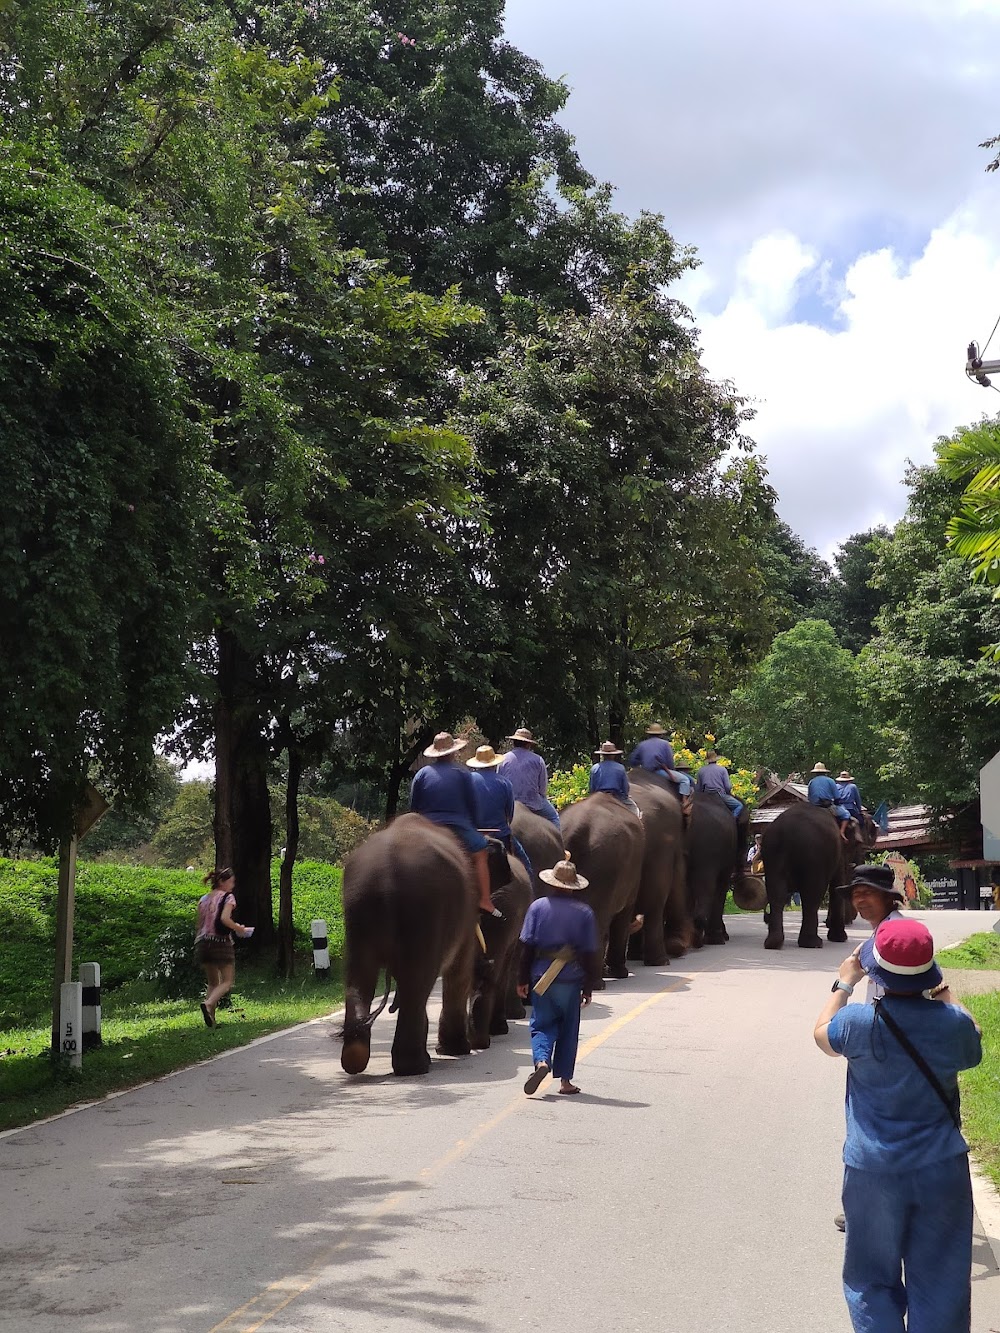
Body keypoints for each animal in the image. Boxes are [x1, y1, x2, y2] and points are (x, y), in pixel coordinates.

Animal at [338, 810, 480, 1071]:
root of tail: (384, 874)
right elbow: (460, 972)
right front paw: (456, 1050)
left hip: (357, 910)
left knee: (360, 975)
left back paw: (355, 1058)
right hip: (425, 909)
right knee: (417, 981)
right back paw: (415, 1066)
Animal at [560, 789, 645, 981]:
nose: (640, 917)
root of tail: (577, 828)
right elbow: (623, 915)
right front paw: (619, 973)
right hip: (605, 867)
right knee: (598, 920)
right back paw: (597, 983)